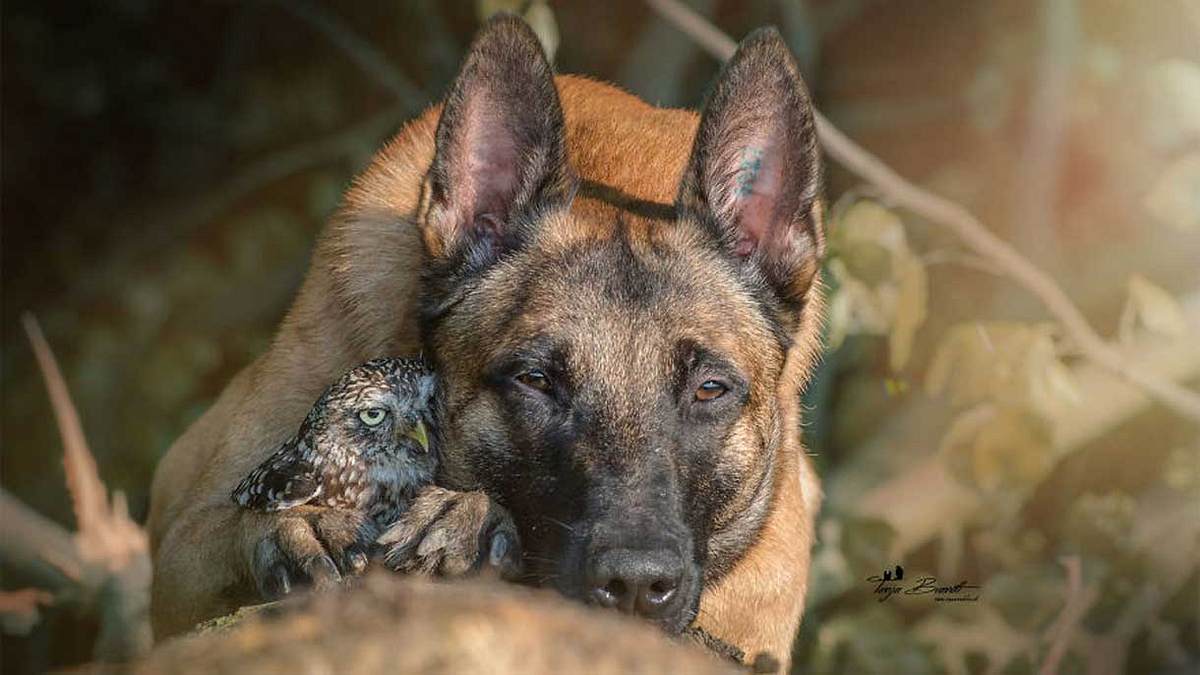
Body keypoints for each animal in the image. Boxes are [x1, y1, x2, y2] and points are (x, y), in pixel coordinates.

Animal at [147, 15, 825, 667]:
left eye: (711, 389)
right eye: (535, 381)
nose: (635, 586)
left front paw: (464, 516)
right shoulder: (182, 543)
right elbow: (240, 519)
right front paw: (307, 524)